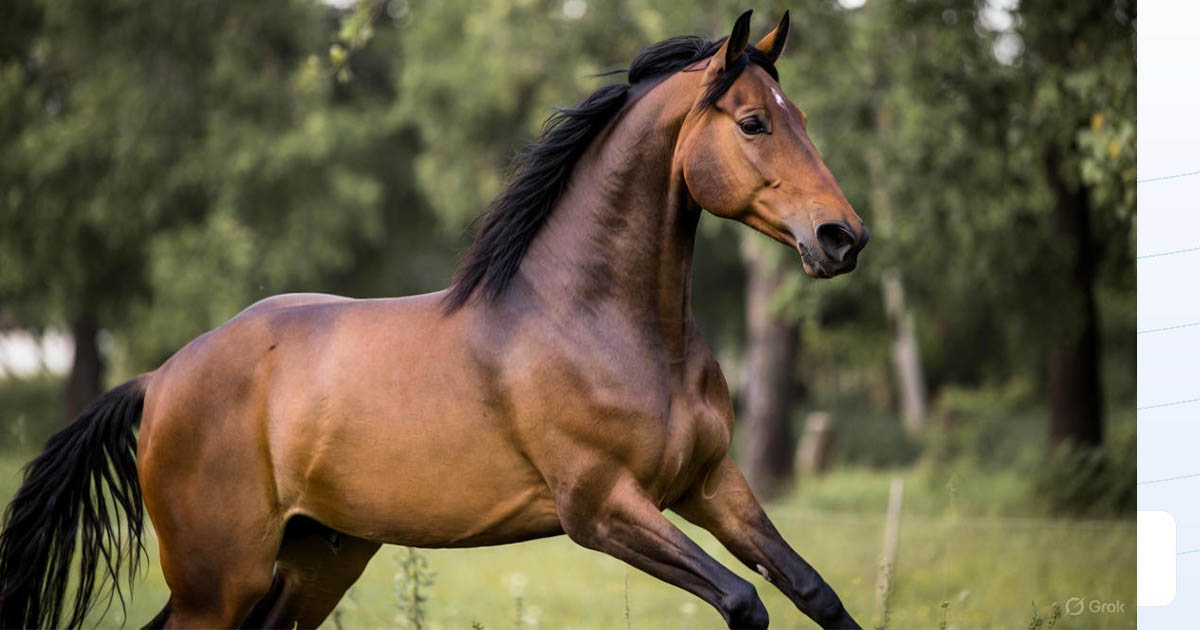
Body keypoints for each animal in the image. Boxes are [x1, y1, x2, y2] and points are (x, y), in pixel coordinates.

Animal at [0, 10, 868, 629]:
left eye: (801, 116)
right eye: (753, 123)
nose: (843, 238)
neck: (601, 324)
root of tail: (160, 379)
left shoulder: (709, 484)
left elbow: (813, 591)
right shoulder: (601, 509)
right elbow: (744, 601)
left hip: (319, 559)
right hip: (219, 581)